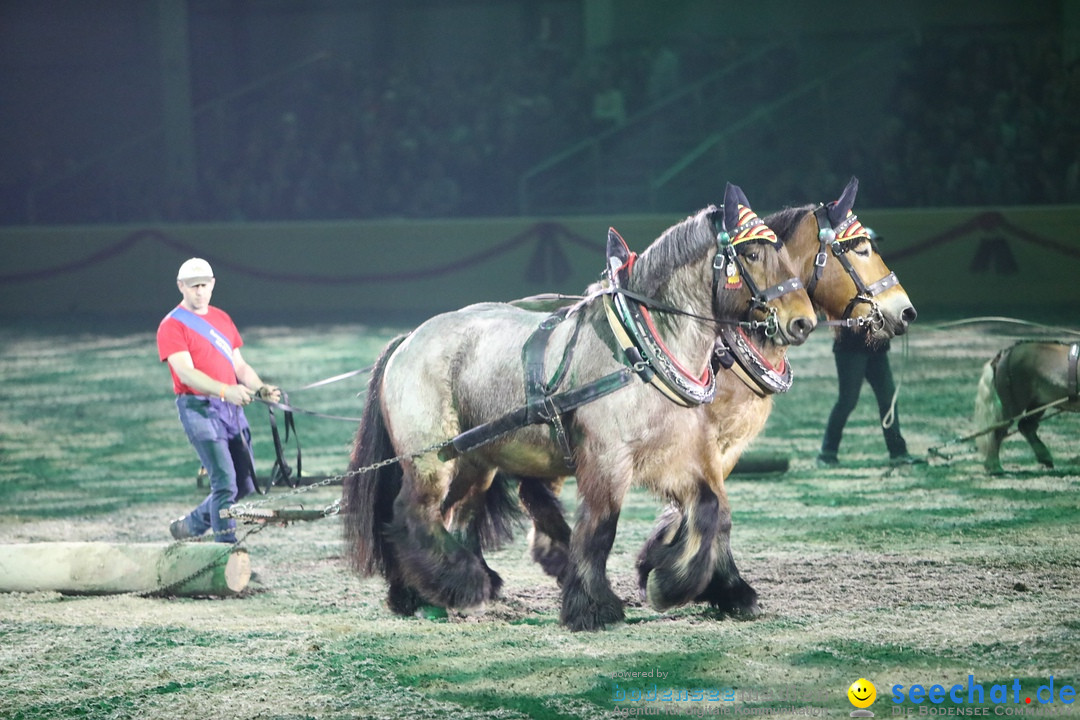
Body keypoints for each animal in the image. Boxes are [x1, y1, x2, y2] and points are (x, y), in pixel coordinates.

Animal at [341, 184, 812, 630]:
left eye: (783, 252)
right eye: (751, 253)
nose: (802, 322)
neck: (640, 349)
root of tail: (409, 339)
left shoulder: (674, 455)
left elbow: (711, 509)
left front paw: (675, 583)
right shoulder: (606, 458)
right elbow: (600, 529)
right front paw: (593, 606)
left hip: (474, 461)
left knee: (447, 512)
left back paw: (422, 590)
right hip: (432, 457)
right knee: (413, 512)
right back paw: (459, 583)